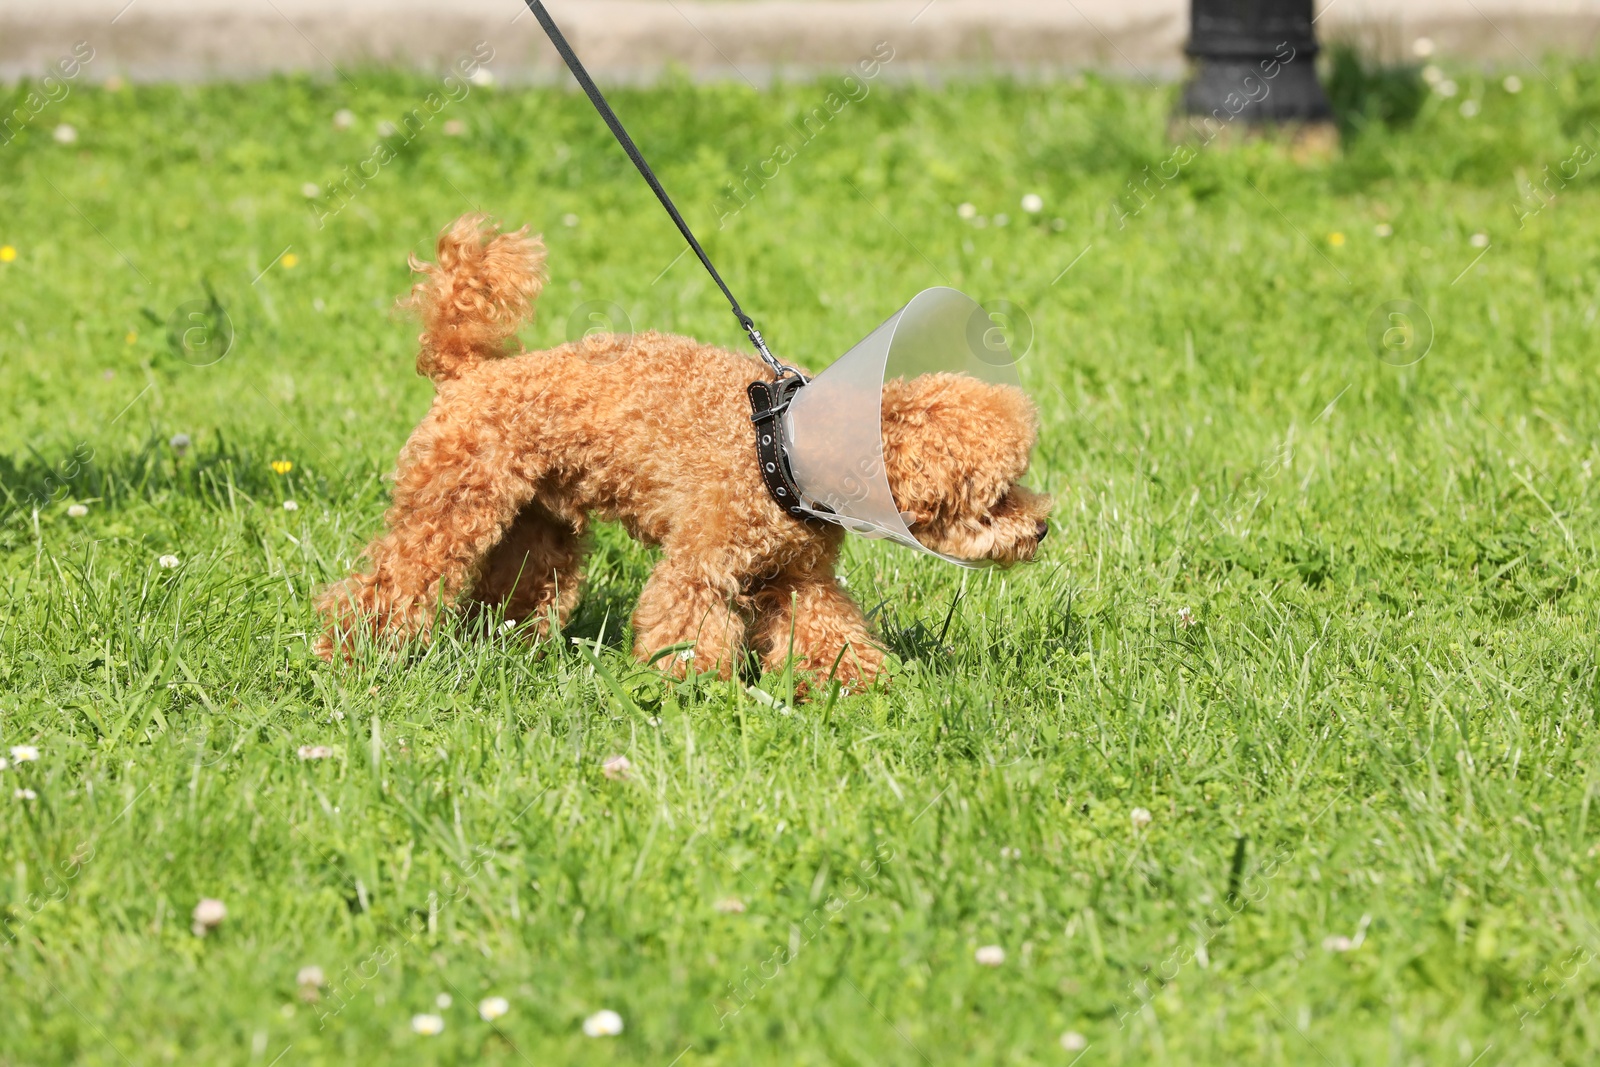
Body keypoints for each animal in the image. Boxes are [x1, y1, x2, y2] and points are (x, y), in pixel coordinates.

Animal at [318, 212, 1056, 687]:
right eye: (995, 497)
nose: (1044, 526)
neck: (782, 450)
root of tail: (470, 371)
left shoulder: (796, 577)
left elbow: (828, 631)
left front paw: (859, 687)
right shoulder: (701, 564)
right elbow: (687, 623)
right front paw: (691, 692)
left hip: (539, 528)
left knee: (510, 595)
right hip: (449, 507)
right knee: (387, 585)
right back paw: (348, 655)